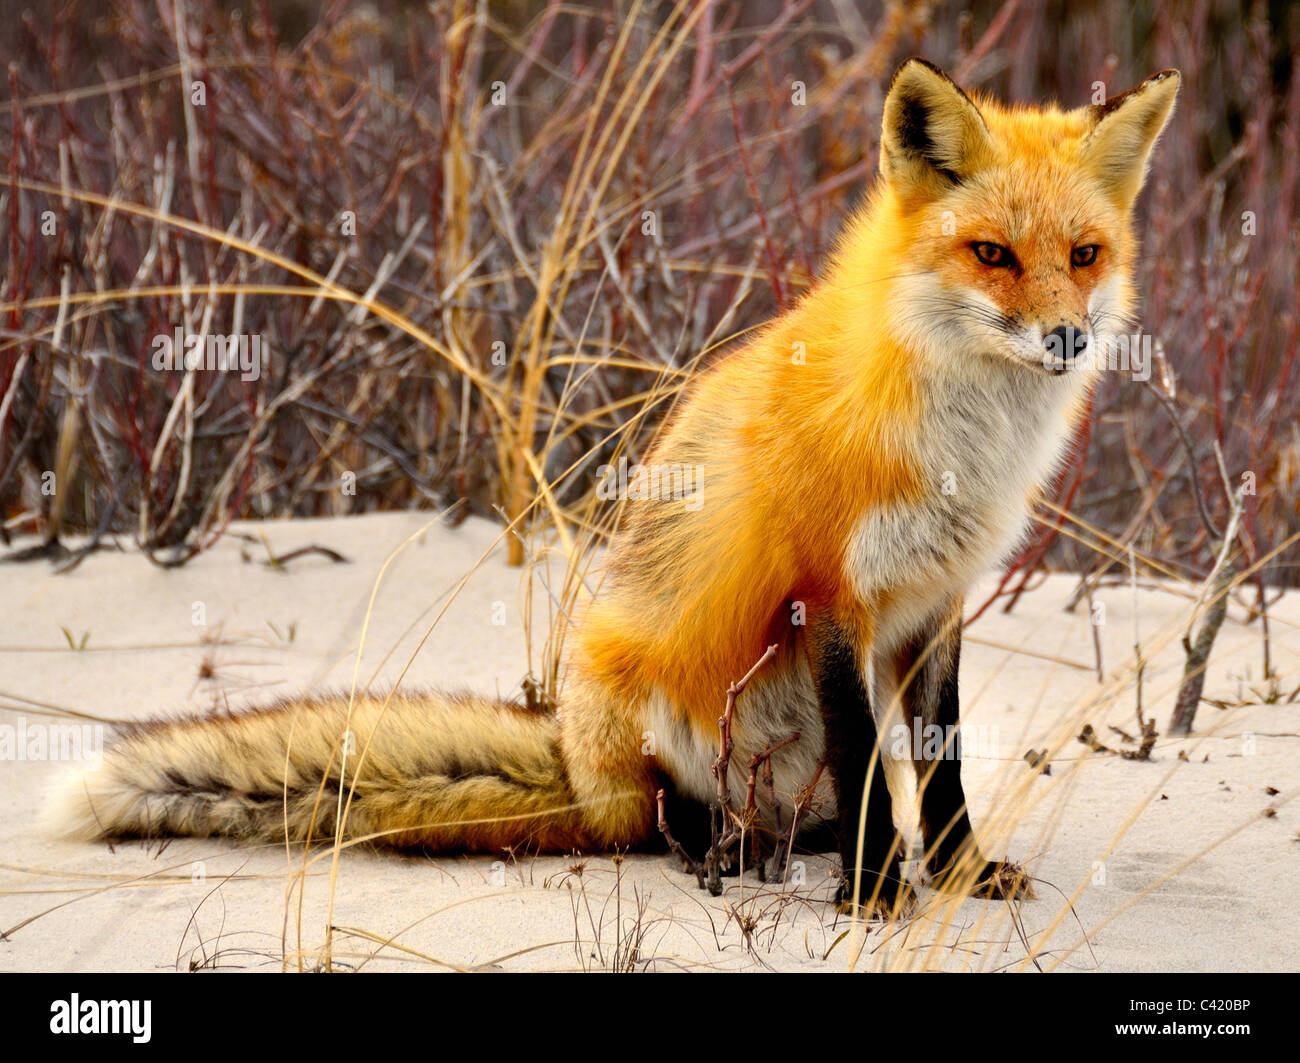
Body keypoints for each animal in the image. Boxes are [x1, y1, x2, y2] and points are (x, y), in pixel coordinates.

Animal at [53, 57, 1180, 914]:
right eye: (991, 254)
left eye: (1084, 254)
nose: (1067, 338)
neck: (961, 441)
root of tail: (570, 760)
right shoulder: (831, 599)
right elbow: (870, 761)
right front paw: (877, 896)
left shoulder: (937, 602)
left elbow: (938, 768)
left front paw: (956, 872)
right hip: (650, 707)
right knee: (666, 818)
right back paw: (729, 850)